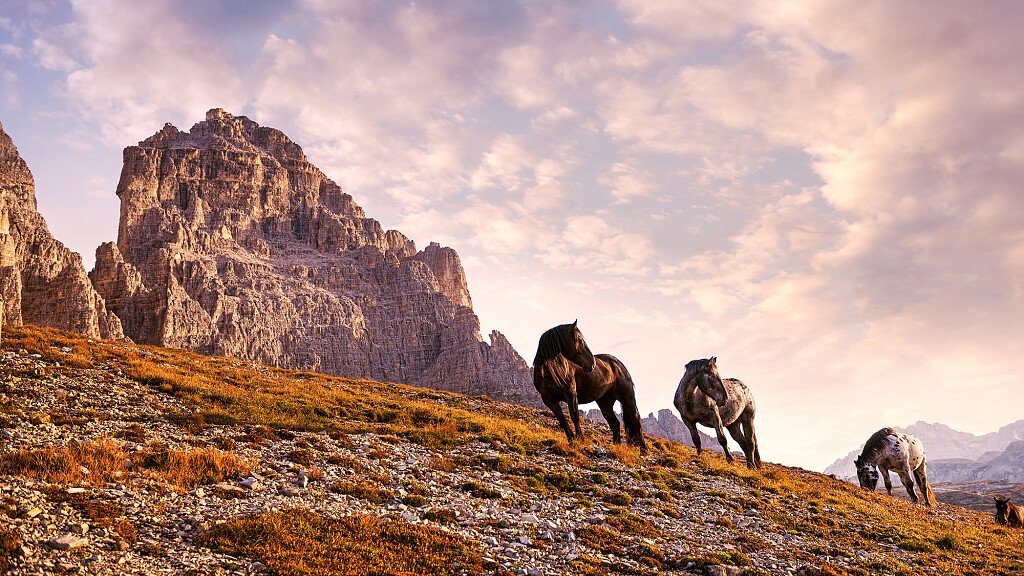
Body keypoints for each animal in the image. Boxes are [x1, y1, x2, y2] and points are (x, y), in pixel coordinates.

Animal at [532, 317, 643, 448]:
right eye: (579, 340)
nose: (593, 363)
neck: (550, 371)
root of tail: (619, 364)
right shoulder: (549, 400)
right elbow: (562, 419)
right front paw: (571, 439)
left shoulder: (570, 393)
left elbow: (574, 415)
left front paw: (580, 439)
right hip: (605, 401)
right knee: (615, 424)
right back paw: (616, 446)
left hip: (627, 398)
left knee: (636, 419)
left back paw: (643, 448)